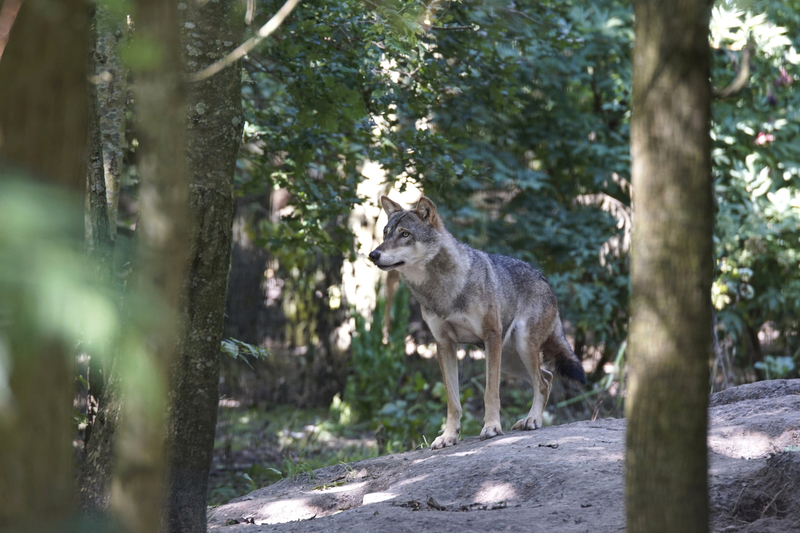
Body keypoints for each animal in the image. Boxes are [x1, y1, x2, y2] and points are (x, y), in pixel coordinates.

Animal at [368, 195, 586, 449]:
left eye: (405, 234)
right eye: (385, 234)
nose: (373, 254)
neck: (442, 290)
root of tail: (546, 281)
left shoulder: (490, 336)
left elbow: (490, 392)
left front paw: (491, 428)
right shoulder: (444, 345)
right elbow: (453, 401)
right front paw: (449, 436)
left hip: (518, 347)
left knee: (542, 382)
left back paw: (533, 420)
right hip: (509, 359)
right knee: (548, 377)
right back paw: (529, 419)